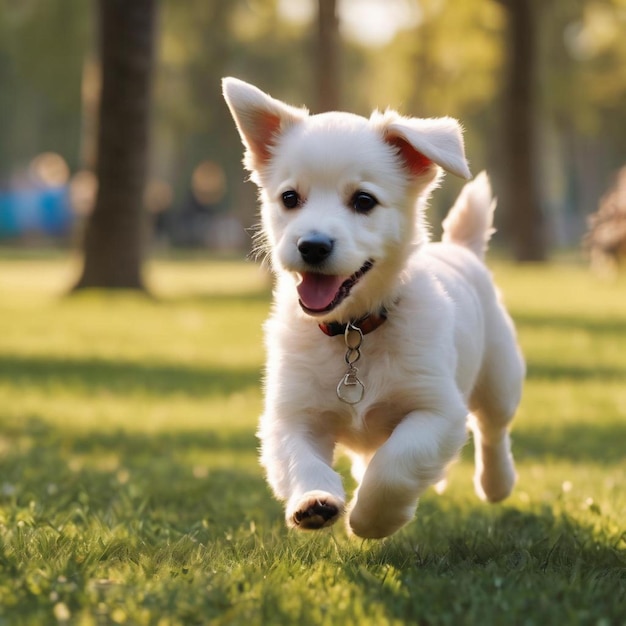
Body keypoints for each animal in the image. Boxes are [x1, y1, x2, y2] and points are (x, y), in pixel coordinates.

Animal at [222, 77, 524, 536]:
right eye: (290, 197)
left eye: (363, 201)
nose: (312, 245)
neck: (353, 329)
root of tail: (461, 249)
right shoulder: (289, 415)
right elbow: (301, 461)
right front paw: (314, 501)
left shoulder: (437, 410)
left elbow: (396, 465)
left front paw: (371, 519)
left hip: (500, 377)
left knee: (492, 430)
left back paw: (496, 483)